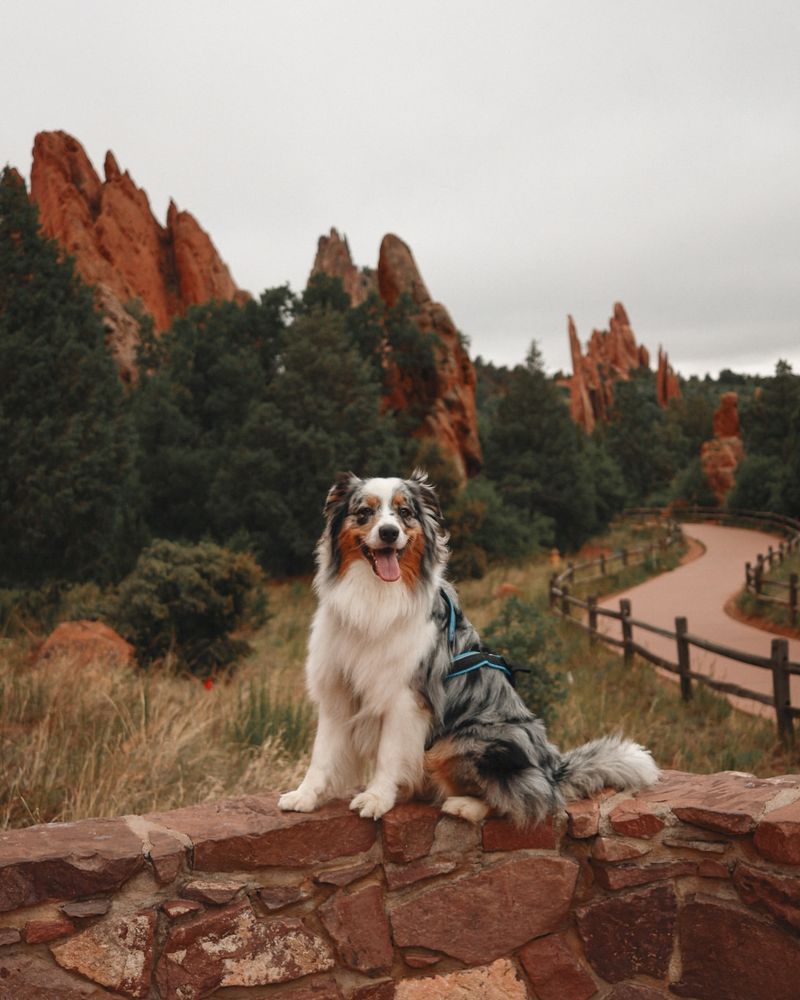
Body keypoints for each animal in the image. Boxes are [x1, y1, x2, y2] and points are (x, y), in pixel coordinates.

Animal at [278, 472, 660, 824]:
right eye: (364, 512)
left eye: (404, 513)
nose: (389, 533)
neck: (374, 596)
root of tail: (552, 770)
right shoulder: (337, 690)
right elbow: (322, 755)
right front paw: (304, 795)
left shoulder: (405, 697)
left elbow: (388, 754)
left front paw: (376, 798)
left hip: (468, 742)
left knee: (523, 800)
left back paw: (463, 805)